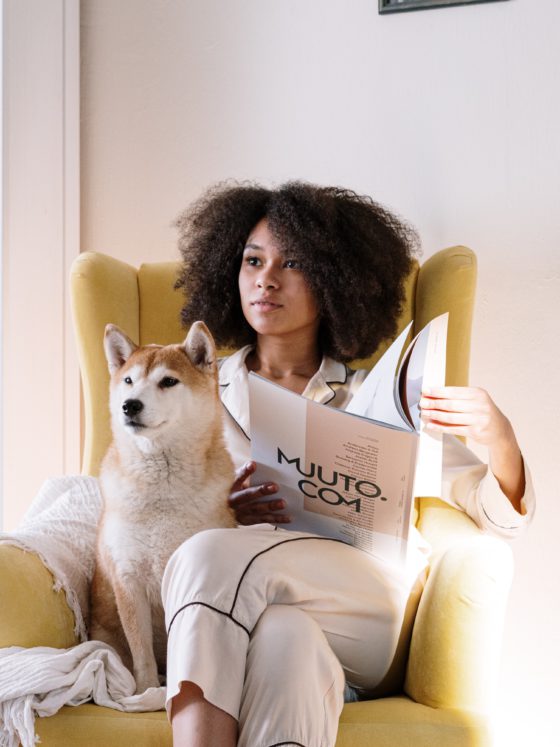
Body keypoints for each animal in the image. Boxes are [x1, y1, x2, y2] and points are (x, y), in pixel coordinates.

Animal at [91, 318, 235, 692]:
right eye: (129, 380)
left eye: (168, 381)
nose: (130, 405)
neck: (162, 494)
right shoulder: (128, 580)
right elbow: (141, 652)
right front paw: (146, 690)